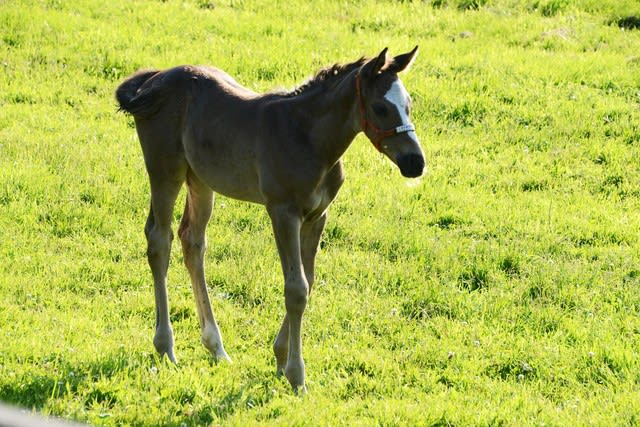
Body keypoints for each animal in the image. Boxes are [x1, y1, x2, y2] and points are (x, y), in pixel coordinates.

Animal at [115, 47, 424, 392]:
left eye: (408, 105)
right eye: (381, 107)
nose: (415, 162)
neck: (307, 138)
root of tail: (153, 79)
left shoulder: (318, 215)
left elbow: (308, 281)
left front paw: (280, 357)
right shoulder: (282, 211)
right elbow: (296, 288)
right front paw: (296, 375)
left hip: (201, 180)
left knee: (192, 241)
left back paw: (216, 347)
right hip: (165, 170)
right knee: (159, 239)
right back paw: (166, 347)